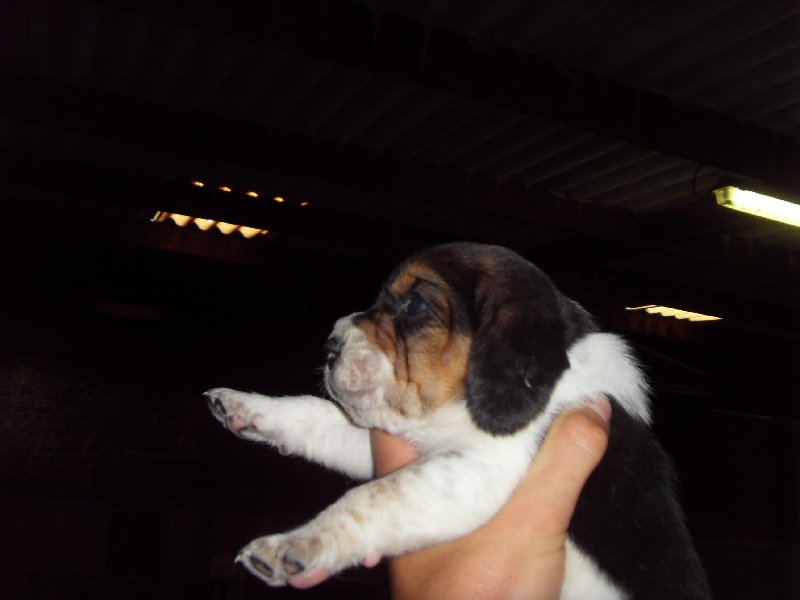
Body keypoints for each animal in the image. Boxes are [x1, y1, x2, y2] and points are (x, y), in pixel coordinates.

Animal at [206, 242, 710, 599]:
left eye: (416, 305)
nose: (329, 347)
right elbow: (314, 415)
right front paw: (243, 405)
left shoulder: (481, 467)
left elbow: (374, 497)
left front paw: (295, 544)